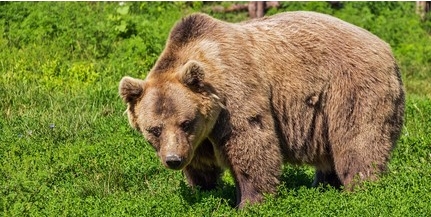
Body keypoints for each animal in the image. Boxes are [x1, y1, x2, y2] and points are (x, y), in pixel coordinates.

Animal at [118, 11, 404, 208]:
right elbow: (201, 164)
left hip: (351, 88)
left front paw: (249, 201)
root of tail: (387, 48)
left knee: (358, 140)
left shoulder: (235, 96)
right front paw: (204, 189)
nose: (173, 160)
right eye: (154, 129)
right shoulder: (199, 137)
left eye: (186, 122)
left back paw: (361, 188)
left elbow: (251, 144)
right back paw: (324, 184)